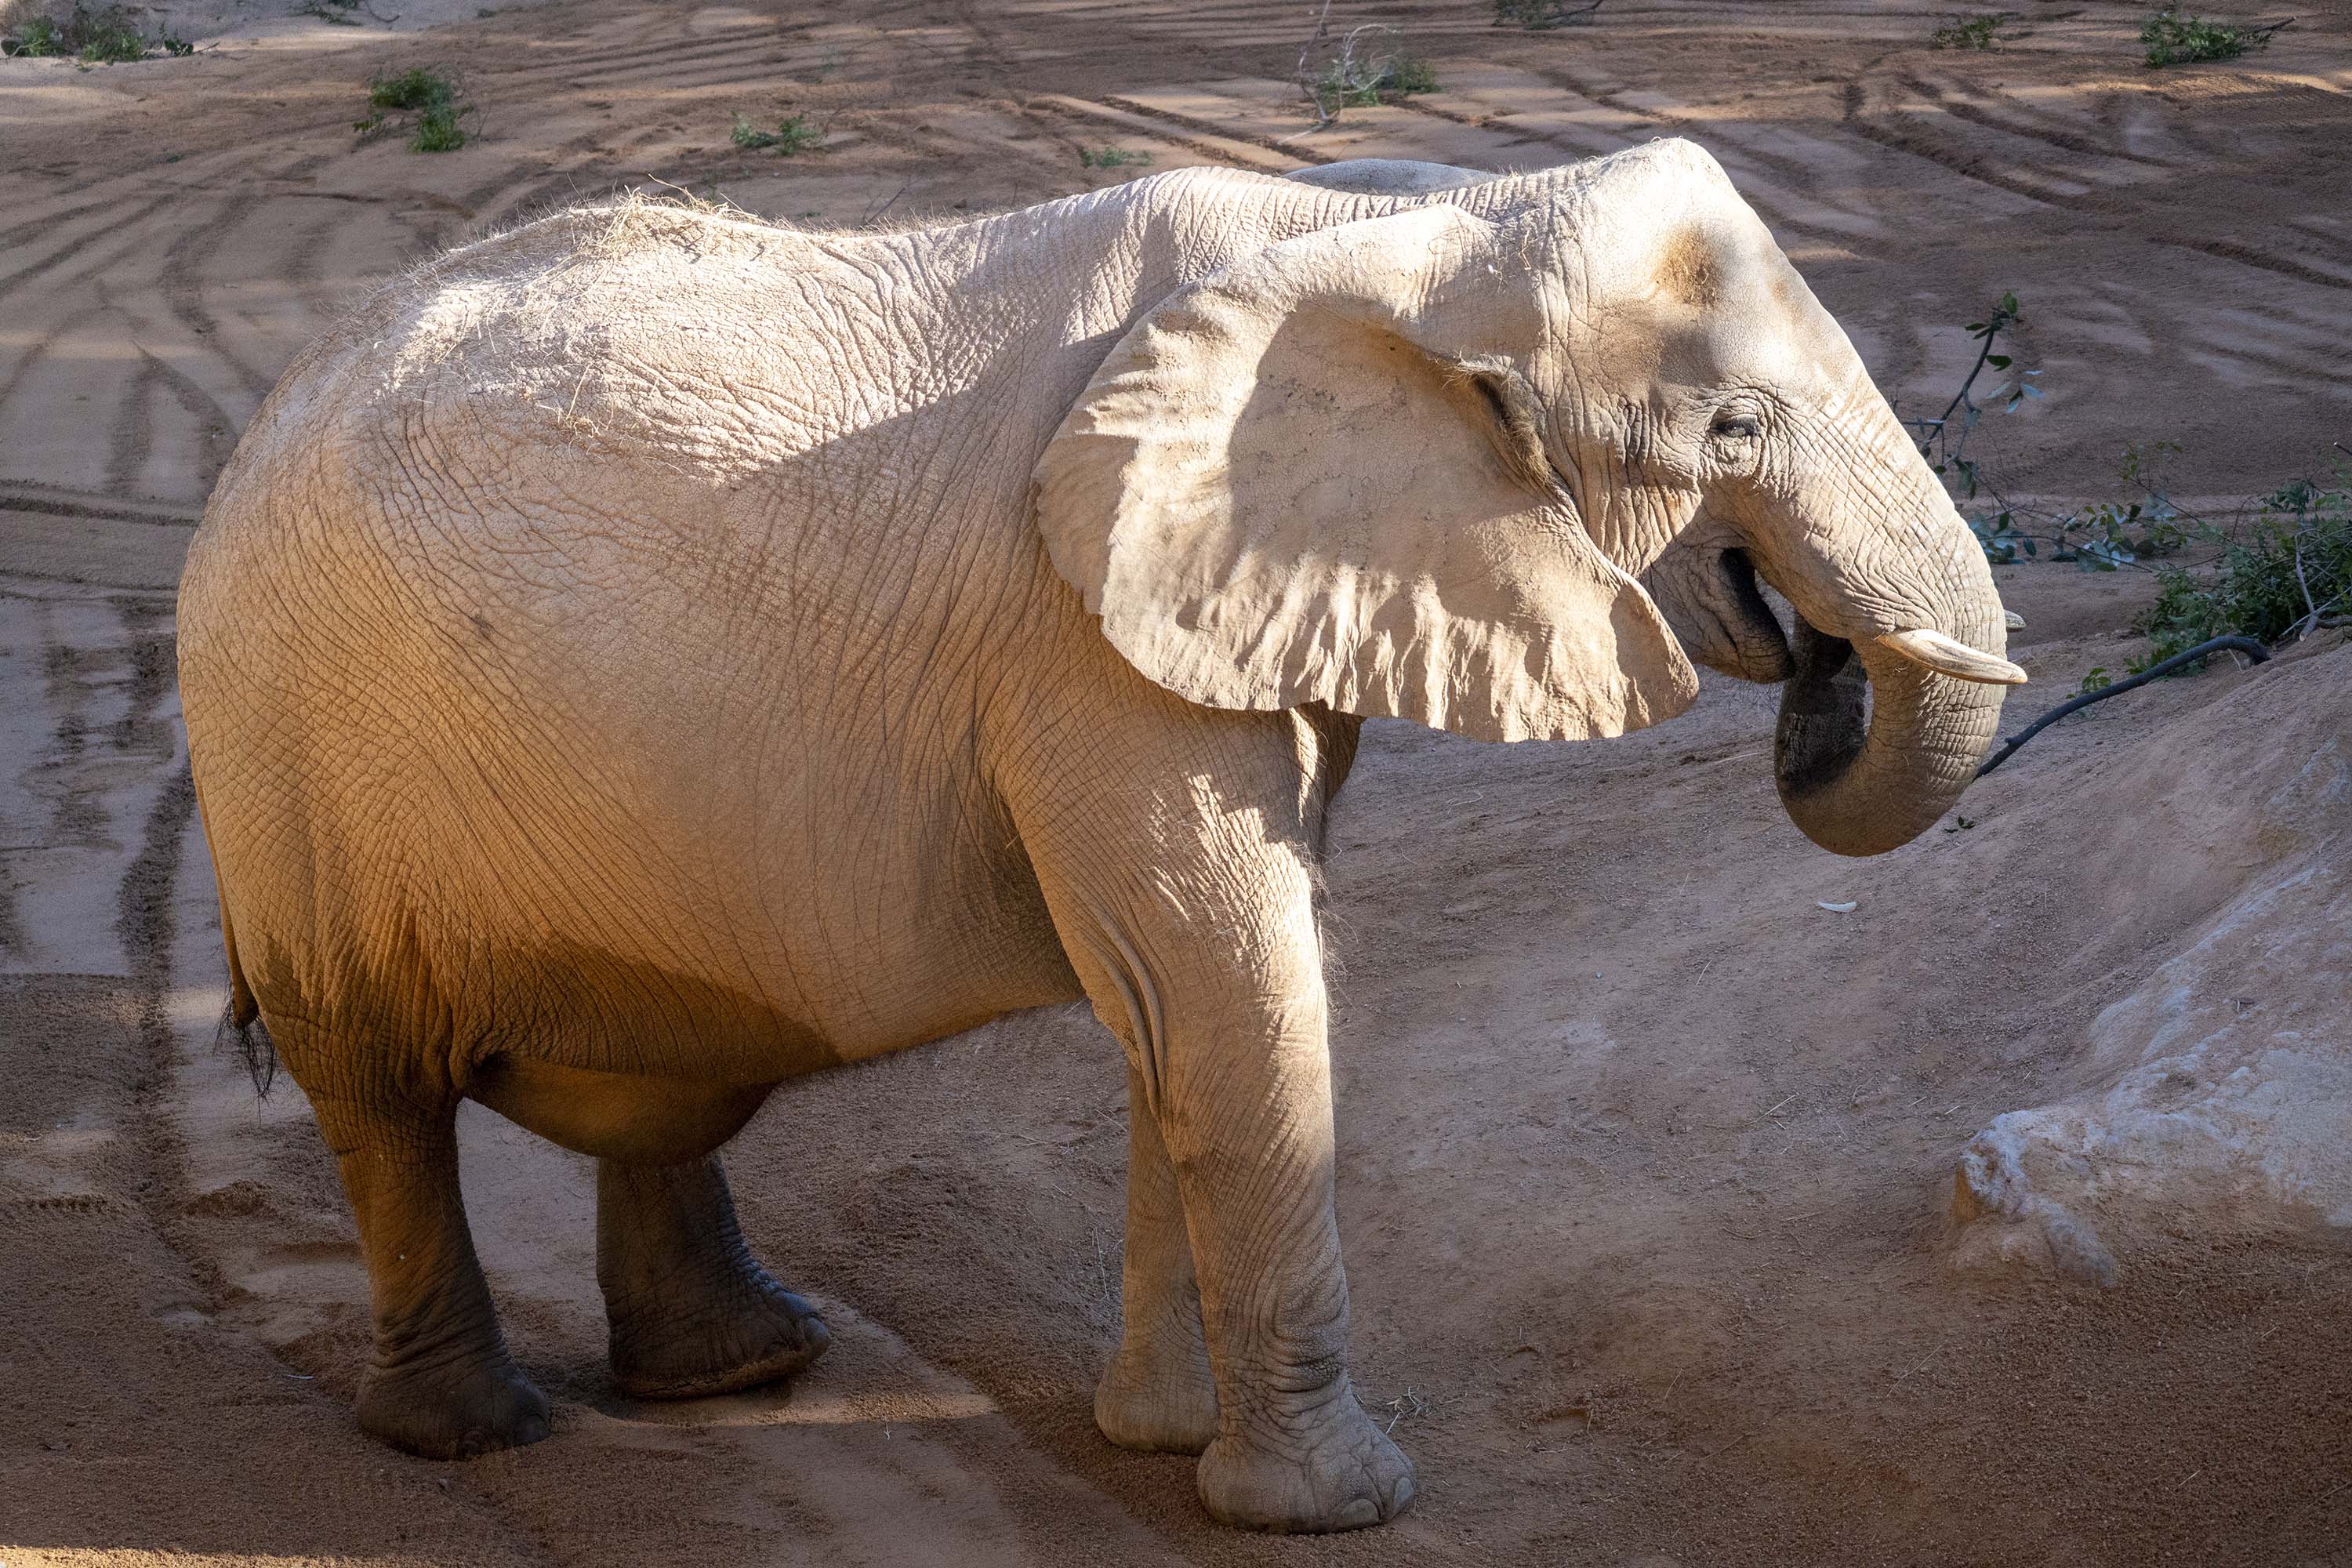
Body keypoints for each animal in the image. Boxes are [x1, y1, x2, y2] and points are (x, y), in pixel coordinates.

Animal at [183, 140, 2023, 1542]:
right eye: (1734, 431)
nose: (1814, 651)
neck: (1401, 221)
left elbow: (1187, 1002)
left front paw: (1155, 1441)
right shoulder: (1081, 631)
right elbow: (1219, 980)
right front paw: (1334, 1509)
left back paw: (745, 1370)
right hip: (285, 767)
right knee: (379, 1098)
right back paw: (475, 1435)